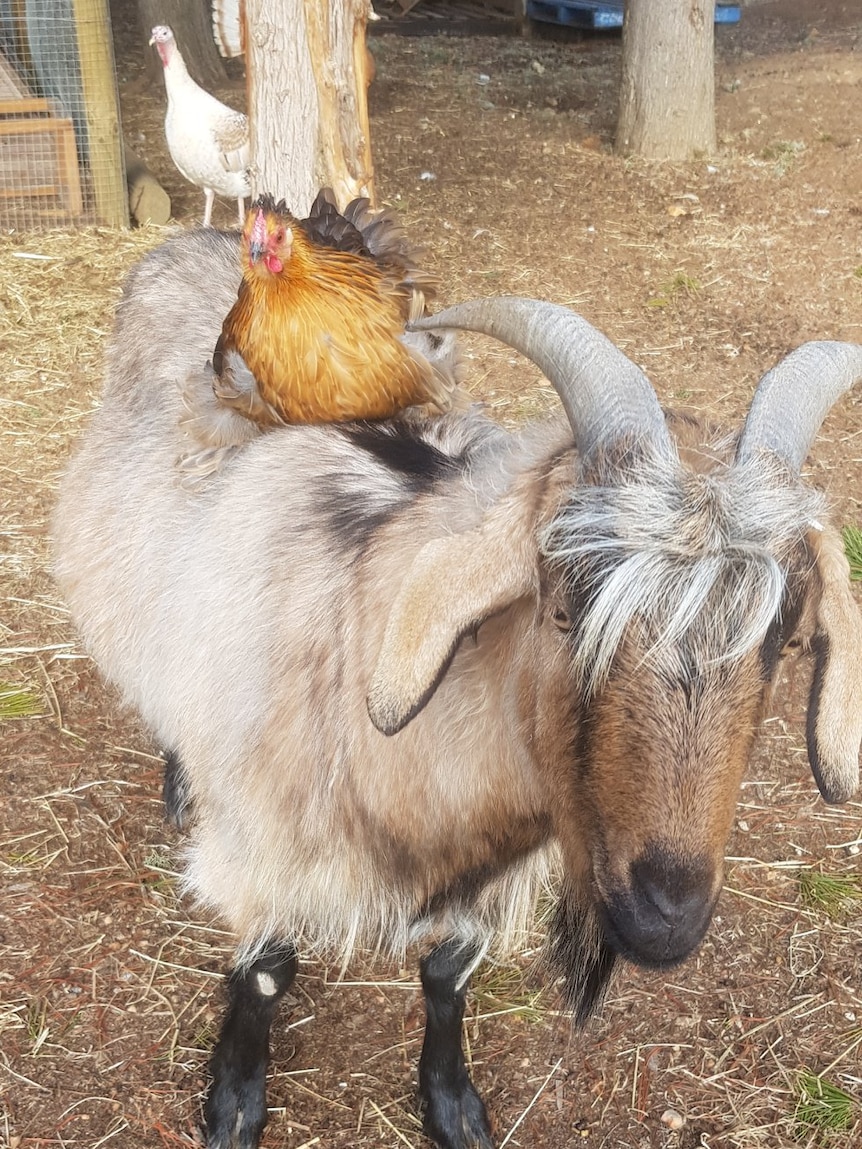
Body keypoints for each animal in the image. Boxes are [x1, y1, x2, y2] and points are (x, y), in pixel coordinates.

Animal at [54, 226, 862, 1149]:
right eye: (566, 606)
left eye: (786, 638)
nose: (667, 913)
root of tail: (203, 237)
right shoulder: (266, 845)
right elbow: (266, 971)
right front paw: (234, 1101)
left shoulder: (489, 882)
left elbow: (446, 974)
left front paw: (452, 1103)